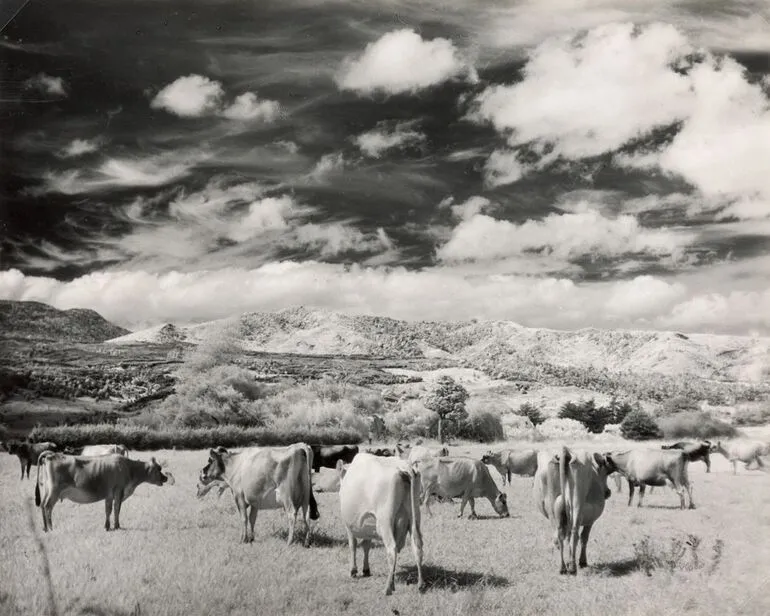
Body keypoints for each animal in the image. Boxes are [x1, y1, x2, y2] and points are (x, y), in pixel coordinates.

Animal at [34, 450, 174, 532]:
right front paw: (116, 526)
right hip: (54, 490)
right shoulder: (118, 491)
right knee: (48, 507)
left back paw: (45, 528)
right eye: (159, 468)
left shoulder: (109, 494)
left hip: (47, 489)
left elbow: (108, 509)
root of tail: (51, 455)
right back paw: (51, 528)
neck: (129, 468)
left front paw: (107, 526)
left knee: (42, 505)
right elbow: (116, 509)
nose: (165, 478)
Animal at [338, 450, 424, 596]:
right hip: (415, 518)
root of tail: (405, 467)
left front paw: (353, 570)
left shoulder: (348, 526)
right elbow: (366, 545)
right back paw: (420, 584)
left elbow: (353, 545)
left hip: (385, 522)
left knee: (392, 549)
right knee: (417, 546)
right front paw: (366, 569)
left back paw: (388, 588)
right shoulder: (367, 525)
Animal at [536, 446, 612, 576]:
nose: (608, 492)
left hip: (553, 510)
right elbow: (584, 538)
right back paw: (572, 567)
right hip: (577, 504)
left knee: (558, 537)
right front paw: (582, 561)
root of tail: (567, 452)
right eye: (605, 473)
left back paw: (562, 567)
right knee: (574, 534)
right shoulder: (590, 520)